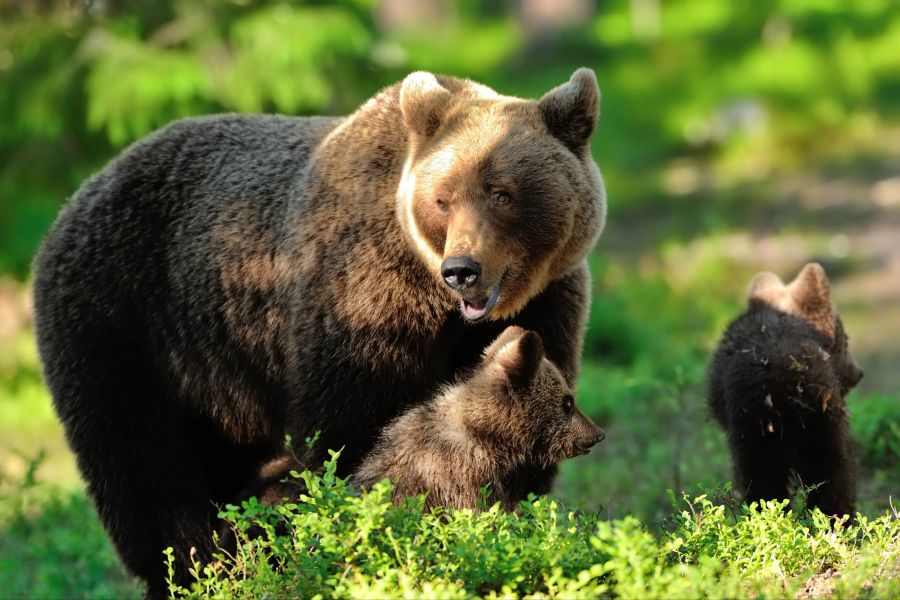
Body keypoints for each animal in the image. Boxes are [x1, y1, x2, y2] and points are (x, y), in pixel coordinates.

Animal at [33, 70, 604, 596]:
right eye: (443, 199)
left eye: (501, 193)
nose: (461, 270)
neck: (435, 301)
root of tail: (77, 195)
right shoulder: (360, 300)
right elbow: (351, 434)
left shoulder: (549, 301)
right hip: (124, 324)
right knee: (145, 471)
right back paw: (191, 570)